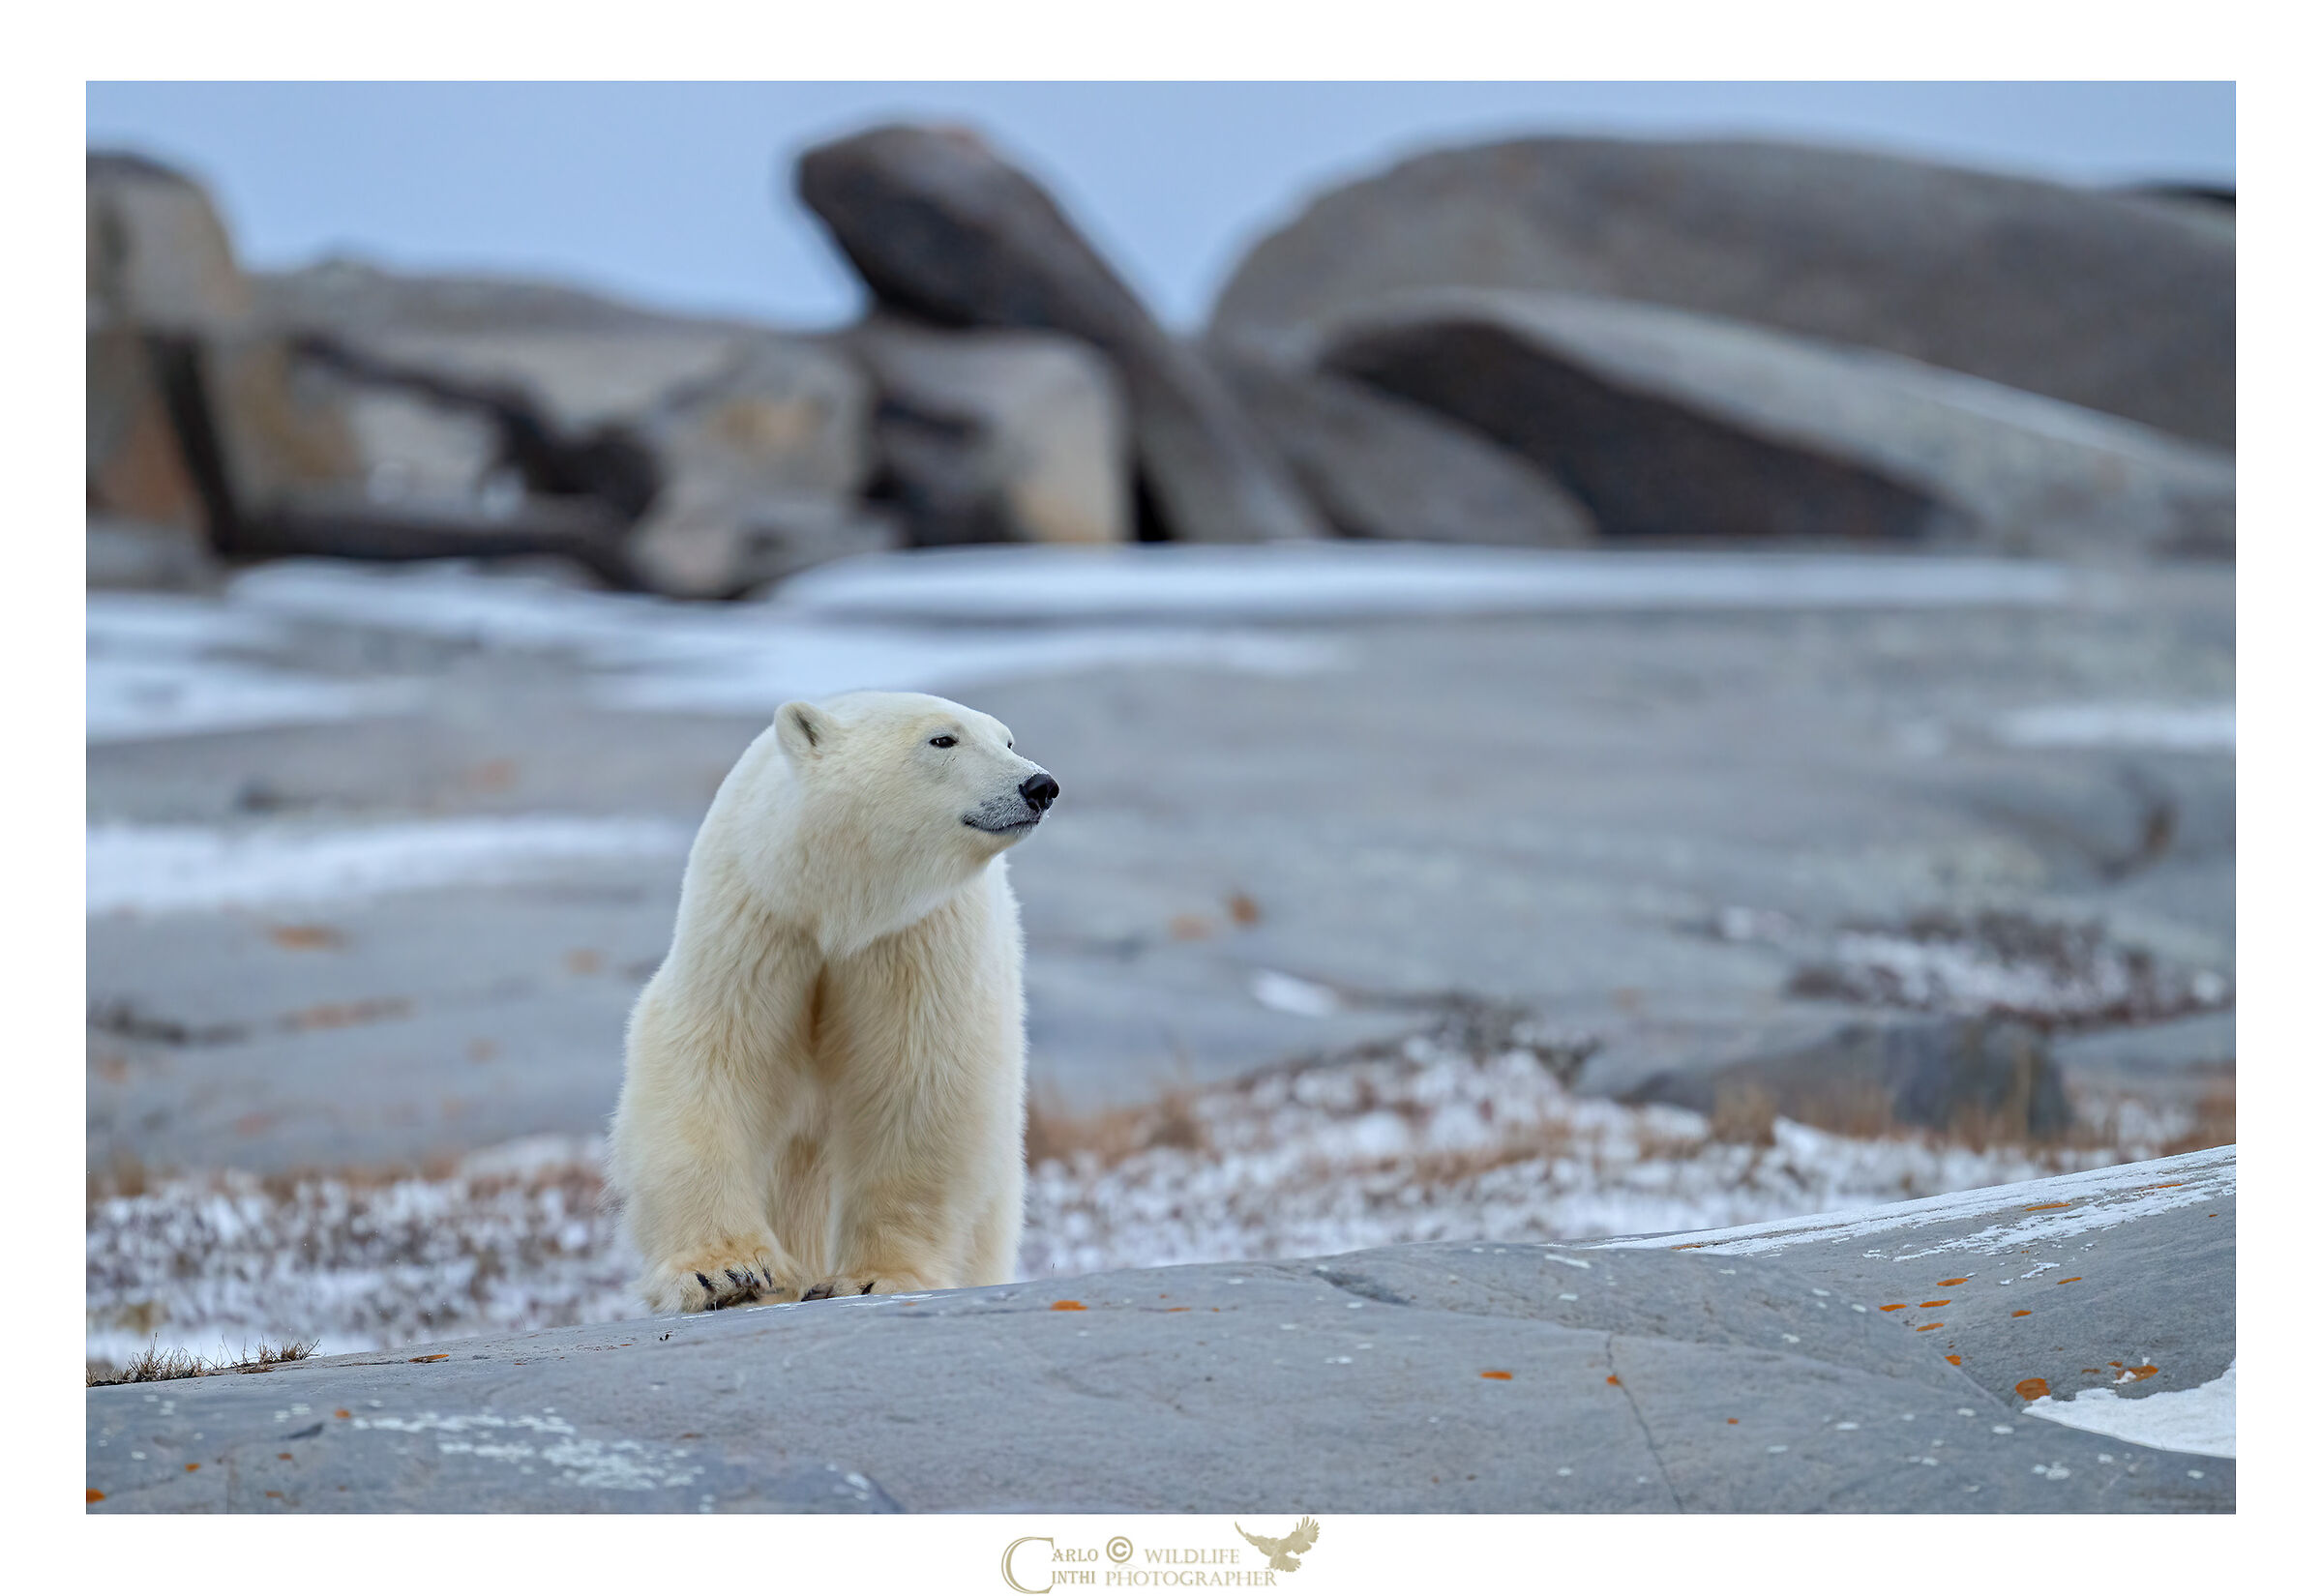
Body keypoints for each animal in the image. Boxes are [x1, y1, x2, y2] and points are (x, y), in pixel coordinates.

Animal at [606, 689, 1059, 1314]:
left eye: (1008, 739)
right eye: (943, 739)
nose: (1040, 785)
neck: (839, 908)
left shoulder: (916, 936)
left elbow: (920, 1081)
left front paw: (876, 1277)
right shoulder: (758, 921)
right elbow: (710, 1056)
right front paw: (725, 1275)